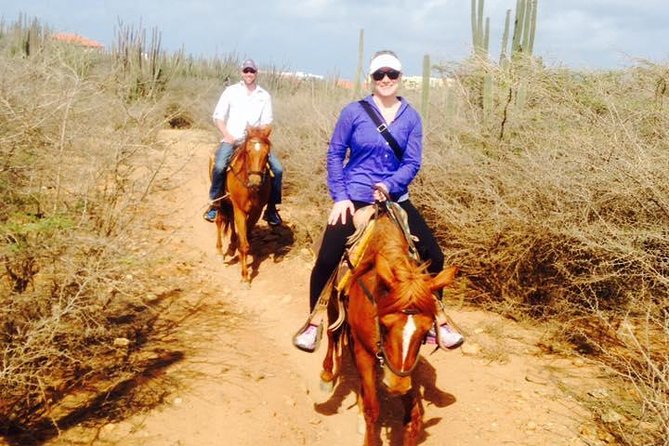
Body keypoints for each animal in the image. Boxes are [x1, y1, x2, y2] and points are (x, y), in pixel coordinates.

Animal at [210, 124, 270, 282]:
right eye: (248, 151)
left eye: (267, 153)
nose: (255, 181)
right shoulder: (240, 210)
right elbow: (244, 244)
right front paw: (245, 276)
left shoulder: (256, 211)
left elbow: (245, 239)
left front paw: (236, 248)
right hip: (221, 201)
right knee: (219, 221)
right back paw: (220, 250)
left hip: (231, 204)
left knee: (230, 220)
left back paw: (231, 246)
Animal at [320, 203, 456, 446]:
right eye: (384, 324)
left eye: (426, 331)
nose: (397, 386)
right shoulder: (365, 354)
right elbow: (373, 409)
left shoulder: (406, 365)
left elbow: (414, 416)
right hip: (333, 305)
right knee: (331, 334)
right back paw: (327, 376)